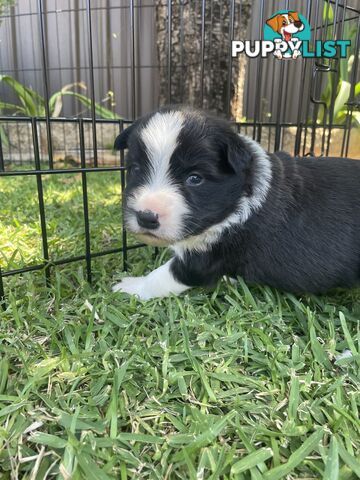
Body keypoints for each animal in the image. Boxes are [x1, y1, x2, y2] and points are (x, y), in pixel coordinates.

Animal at [112, 107, 360, 298]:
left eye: (195, 178)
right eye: (135, 169)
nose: (146, 217)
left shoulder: (209, 256)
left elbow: (162, 277)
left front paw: (131, 286)